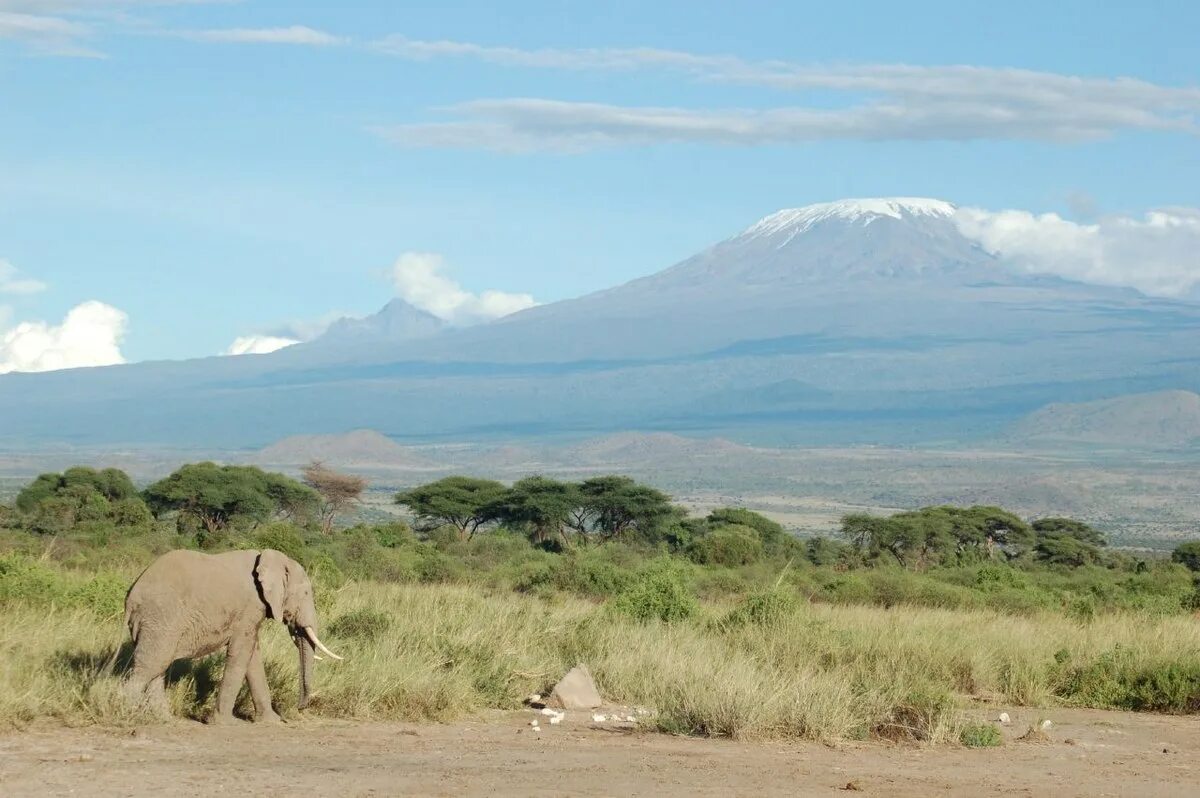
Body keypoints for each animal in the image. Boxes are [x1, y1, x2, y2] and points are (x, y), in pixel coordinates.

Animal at [123, 547, 343, 720]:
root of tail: (131, 597)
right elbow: (241, 654)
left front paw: (271, 721)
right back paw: (127, 712)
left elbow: (252, 657)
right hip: (161, 617)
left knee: (157, 666)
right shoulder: (249, 608)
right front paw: (224, 722)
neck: (272, 558)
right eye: (305, 593)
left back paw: (164, 719)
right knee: (151, 665)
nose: (298, 708)